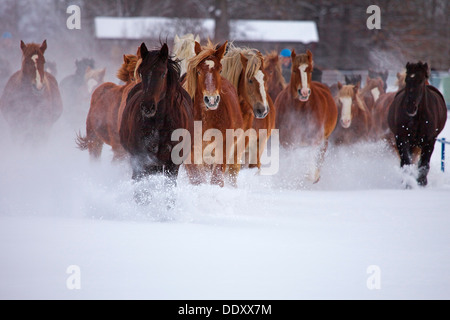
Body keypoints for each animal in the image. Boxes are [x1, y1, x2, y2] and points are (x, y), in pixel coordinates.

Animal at [274, 48, 338, 181]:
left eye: (310, 70)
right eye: (294, 70)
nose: (303, 92)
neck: (300, 109)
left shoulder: (314, 140)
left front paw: (311, 176)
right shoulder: (287, 142)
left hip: (325, 139)